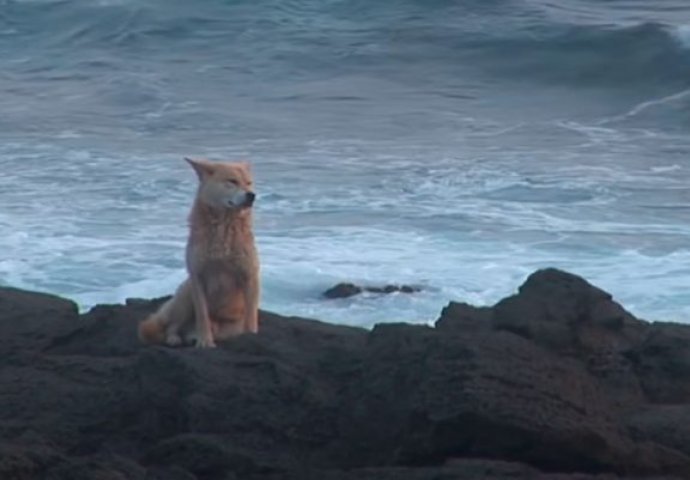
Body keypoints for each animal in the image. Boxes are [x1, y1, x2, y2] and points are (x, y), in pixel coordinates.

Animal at [137, 158, 258, 348]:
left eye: (249, 183)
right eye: (232, 181)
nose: (252, 195)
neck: (222, 228)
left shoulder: (249, 275)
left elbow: (251, 316)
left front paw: (252, 336)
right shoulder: (197, 277)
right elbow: (202, 315)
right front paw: (205, 341)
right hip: (186, 294)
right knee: (171, 326)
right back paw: (175, 338)